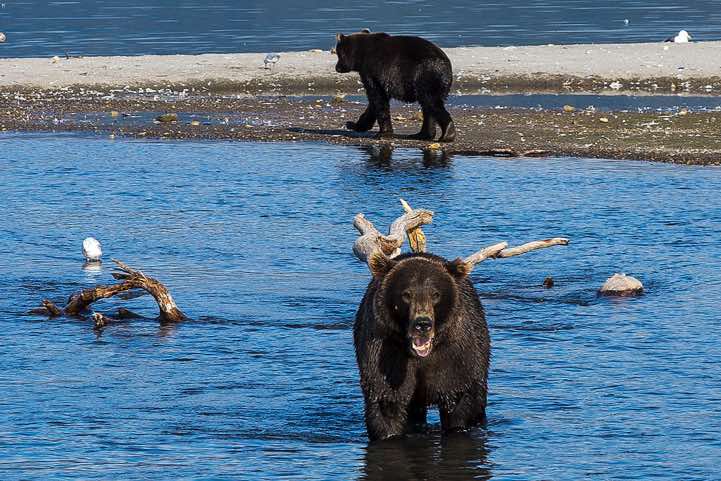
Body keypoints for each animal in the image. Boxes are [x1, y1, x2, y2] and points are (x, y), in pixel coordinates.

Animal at [354, 251, 490, 441]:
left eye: (436, 294)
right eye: (406, 294)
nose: (423, 324)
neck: (419, 356)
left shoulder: (454, 354)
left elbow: (457, 399)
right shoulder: (386, 351)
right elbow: (387, 403)